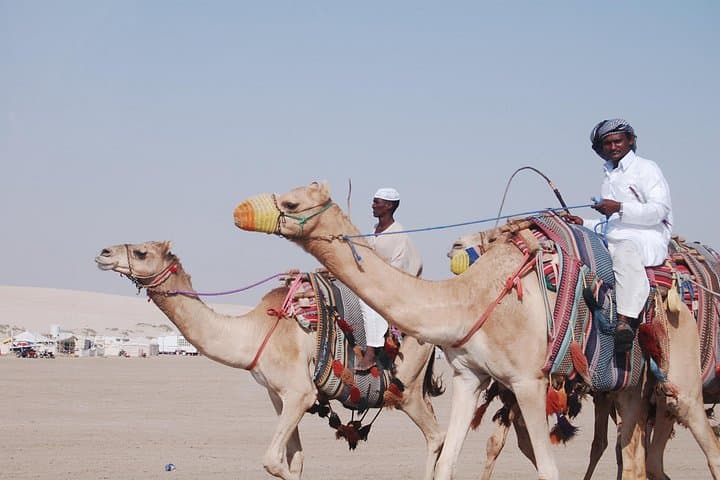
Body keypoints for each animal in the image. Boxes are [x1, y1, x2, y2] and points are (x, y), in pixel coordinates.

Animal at [95, 241, 445, 480]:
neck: (254, 332)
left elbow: (272, 460)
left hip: (406, 389)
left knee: (435, 436)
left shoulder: (300, 393)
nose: (104, 253)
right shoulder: (279, 396)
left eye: (141, 252)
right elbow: (296, 459)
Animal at [233, 181, 720, 479]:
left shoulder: (528, 381)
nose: (240, 210)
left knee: (706, 443)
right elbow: (447, 463)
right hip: (630, 387)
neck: (472, 299)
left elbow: (547, 469)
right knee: (635, 459)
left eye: (291, 203)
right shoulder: (471, 376)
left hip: (680, 374)